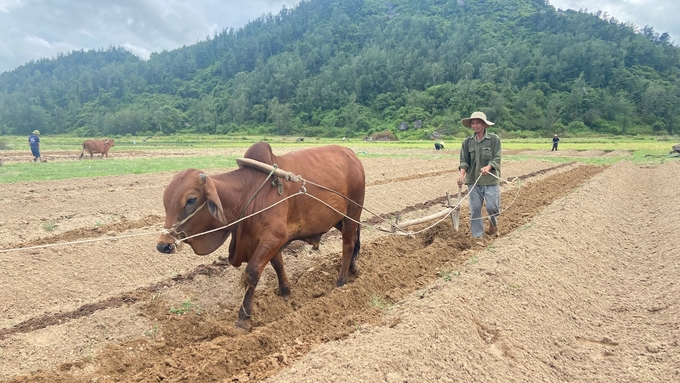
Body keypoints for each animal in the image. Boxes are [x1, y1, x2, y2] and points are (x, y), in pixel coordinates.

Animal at [156, 142, 364, 332]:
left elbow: (252, 272)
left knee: (347, 244)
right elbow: (278, 264)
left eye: (190, 200)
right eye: (165, 201)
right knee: (355, 239)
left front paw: (243, 319)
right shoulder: (270, 241)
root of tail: (351, 154)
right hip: (339, 218)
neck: (247, 195)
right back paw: (353, 268)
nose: (163, 245)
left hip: (353, 212)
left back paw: (341, 281)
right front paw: (285, 293)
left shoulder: (274, 237)